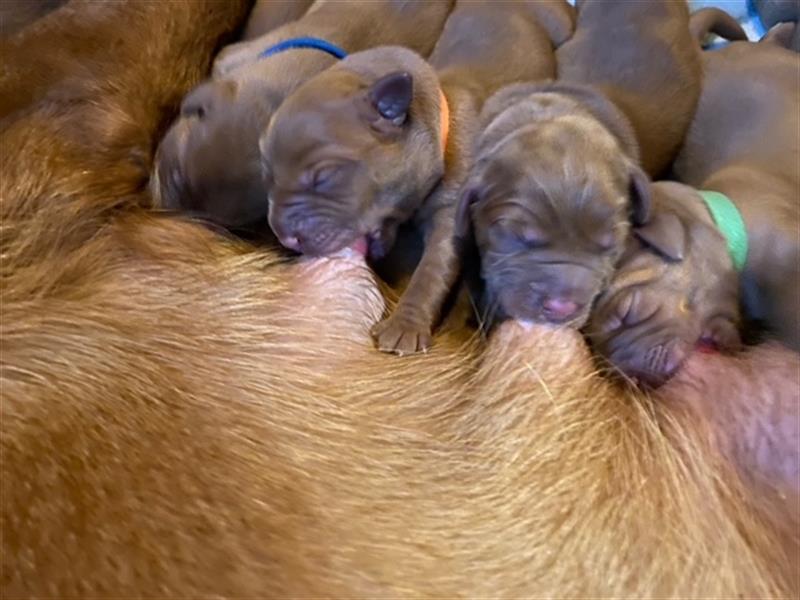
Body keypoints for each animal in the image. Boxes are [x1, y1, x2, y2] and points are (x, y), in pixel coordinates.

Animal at [262, 0, 576, 354]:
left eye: (324, 177)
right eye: (268, 173)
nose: (284, 237)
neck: (443, 124)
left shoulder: (451, 214)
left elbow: (432, 271)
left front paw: (404, 326)